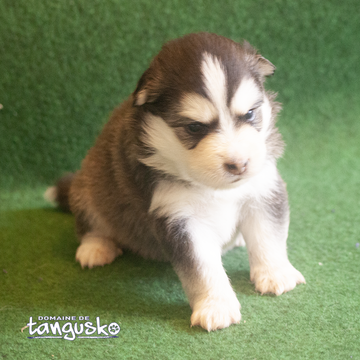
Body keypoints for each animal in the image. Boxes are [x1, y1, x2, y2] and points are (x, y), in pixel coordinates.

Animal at [46, 32, 306, 330]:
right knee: (90, 223)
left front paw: (276, 274)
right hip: (91, 184)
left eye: (250, 114)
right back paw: (96, 248)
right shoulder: (179, 219)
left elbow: (268, 237)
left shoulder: (263, 190)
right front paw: (216, 306)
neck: (213, 188)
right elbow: (203, 268)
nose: (239, 165)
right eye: (194, 127)